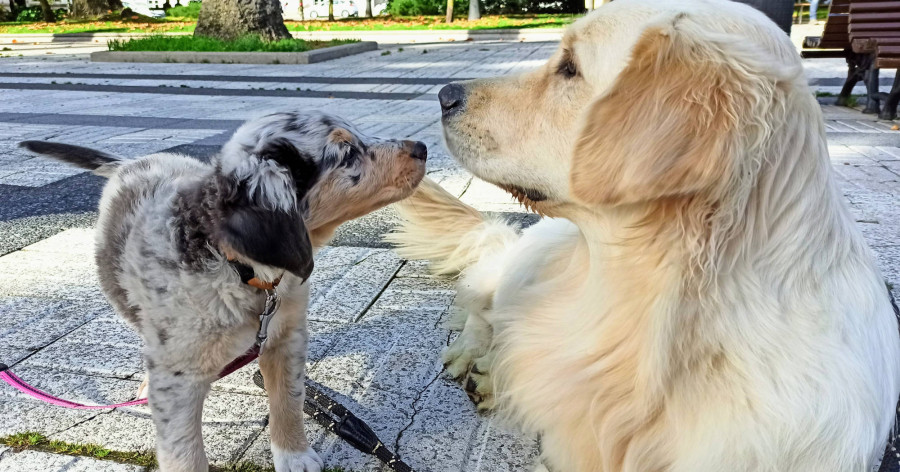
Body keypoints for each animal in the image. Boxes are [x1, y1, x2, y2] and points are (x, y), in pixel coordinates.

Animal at [19, 111, 428, 472]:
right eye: (347, 153)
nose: (422, 146)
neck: (243, 271)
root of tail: (131, 162)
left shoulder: (287, 336)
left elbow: (288, 401)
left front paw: (294, 455)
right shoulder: (179, 380)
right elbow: (184, 453)